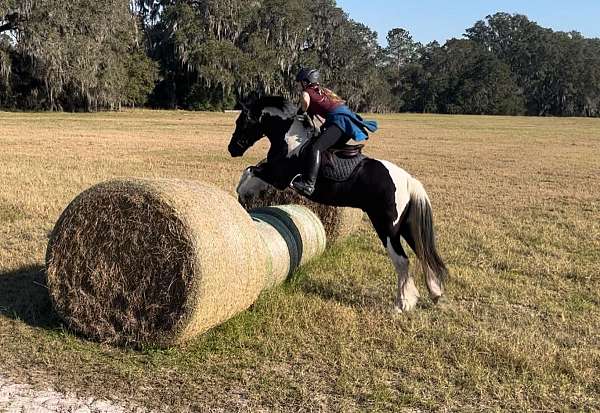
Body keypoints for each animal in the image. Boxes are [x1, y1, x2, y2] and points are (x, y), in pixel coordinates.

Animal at [227, 95, 448, 310]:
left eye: (241, 121)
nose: (232, 149)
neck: (290, 140)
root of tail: (408, 180)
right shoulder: (274, 175)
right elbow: (251, 171)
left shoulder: (278, 177)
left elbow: (250, 171)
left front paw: (242, 193)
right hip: (407, 226)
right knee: (423, 254)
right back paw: (434, 294)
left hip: (387, 227)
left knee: (402, 261)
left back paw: (402, 304)